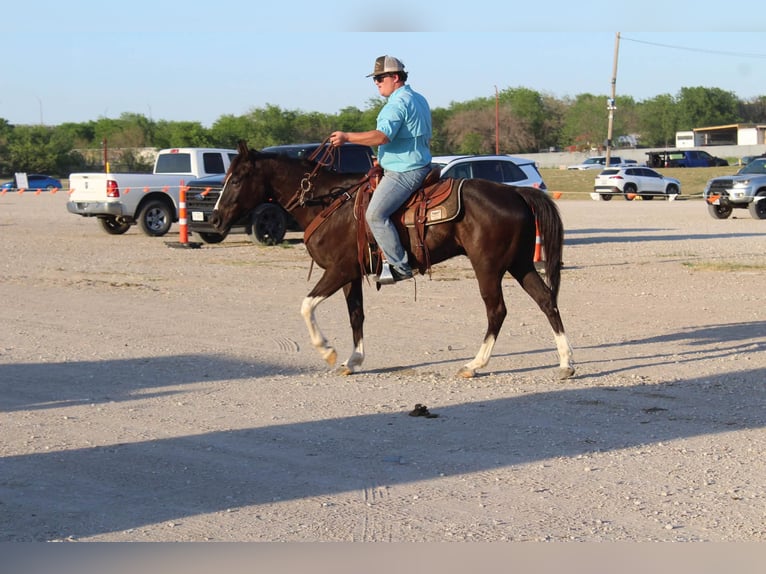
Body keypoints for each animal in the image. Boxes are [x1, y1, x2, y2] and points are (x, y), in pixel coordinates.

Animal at [210, 140, 575, 380]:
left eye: (237, 178)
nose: (214, 218)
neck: (326, 203)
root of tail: (515, 192)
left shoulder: (339, 269)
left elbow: (306, 305)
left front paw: (327, 351)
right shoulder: (351, 274)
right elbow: (356, 315)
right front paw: (353, 360)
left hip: (488, 267)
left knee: (497, 310)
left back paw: (475, 365)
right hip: (520, 264)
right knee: (547, 300)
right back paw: (566, 363)